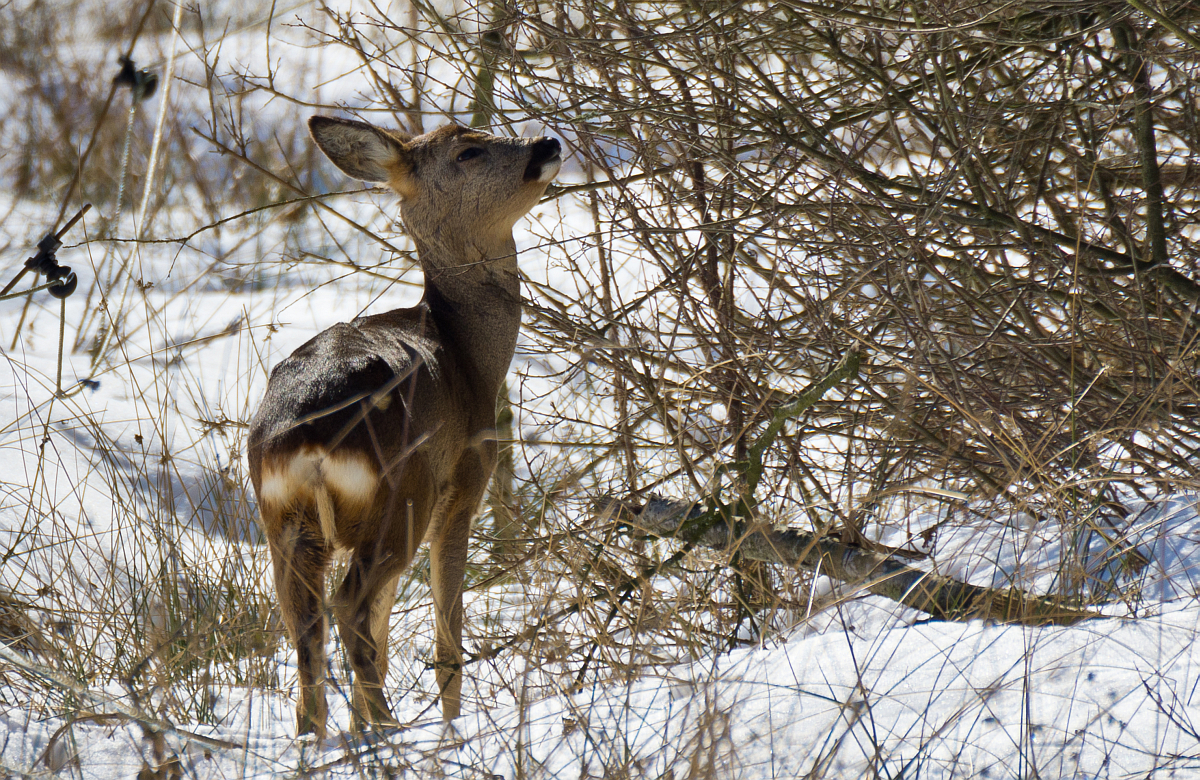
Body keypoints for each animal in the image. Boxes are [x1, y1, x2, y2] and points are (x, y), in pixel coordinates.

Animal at [250, 115, 559, 734]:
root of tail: (308, 439)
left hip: (285, 525)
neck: (468, 354)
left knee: (307, 632)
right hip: (402, 498)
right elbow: (446, 643)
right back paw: (392, 731)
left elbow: (386, 634)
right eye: (468, 151)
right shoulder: (463, 488)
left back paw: (326, 737)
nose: (547, 142)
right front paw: (451, 732)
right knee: (348, 607)